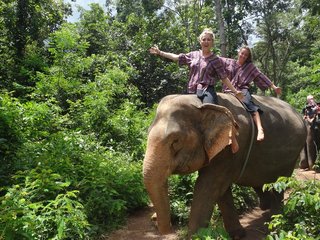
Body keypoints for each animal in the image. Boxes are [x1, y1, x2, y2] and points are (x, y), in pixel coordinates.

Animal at [143, 93, 308, 239]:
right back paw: (265, 209)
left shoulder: (232, 146)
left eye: (175, 141)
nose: (154, 219)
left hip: (291, 157)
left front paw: (197, 237)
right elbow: (221, 191)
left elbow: (208, 187)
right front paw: (237, 234)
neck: (202, 104)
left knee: (280, 182)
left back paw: (275, 217)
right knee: (260, 181)